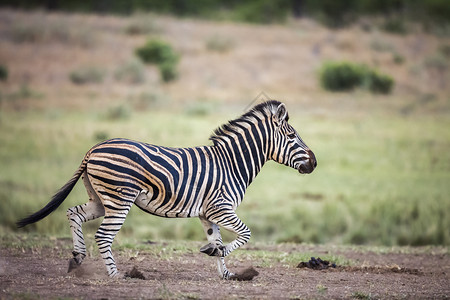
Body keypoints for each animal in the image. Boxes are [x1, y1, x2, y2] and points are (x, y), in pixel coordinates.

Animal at [17, 100, 316, 278]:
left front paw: (225, 272)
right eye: (292, 136)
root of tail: (93, 148)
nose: (314, 162)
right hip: (119, 200)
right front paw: (220, 261)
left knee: (74, 213)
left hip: (100, 199)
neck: (232, 163)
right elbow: (246, 234)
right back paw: (116, 275)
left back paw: (77, 258)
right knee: (103, 235)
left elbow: (217, 241)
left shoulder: (207, 213)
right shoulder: (221, 208)